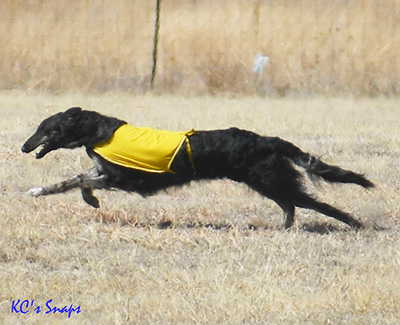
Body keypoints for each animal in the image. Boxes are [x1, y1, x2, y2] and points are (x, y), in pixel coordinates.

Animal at [21, 106, 376, 228]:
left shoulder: (124, 177)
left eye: (44, 128)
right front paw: (46, 192)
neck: (99, 131)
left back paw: (356, 223)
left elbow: (81, 179)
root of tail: (267, 140)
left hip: (270, 179)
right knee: (291, 205)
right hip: (268, 182)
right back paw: (284, 228)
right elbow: (74, 181)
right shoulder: (107, 172)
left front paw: (88, 198)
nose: (24, 147)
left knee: (316, 204)